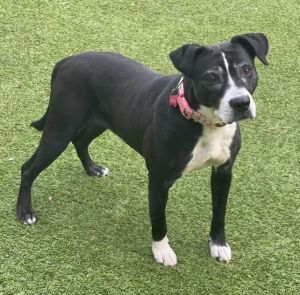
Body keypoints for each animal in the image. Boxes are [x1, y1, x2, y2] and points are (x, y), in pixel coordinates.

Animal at [17, 33, 270, 268]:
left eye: (246, 70)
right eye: (210, 78)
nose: (241, 103)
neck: (204, 123)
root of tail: (68, 60)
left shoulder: (223, 172)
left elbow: (220, 212)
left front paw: (218, 244)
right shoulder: (158, 180)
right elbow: (159, 220)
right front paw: (162, 251)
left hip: (101, 121)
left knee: (81, 141)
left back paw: (93, 168)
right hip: (59, 130)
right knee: (29, 168)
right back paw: (24, 211)